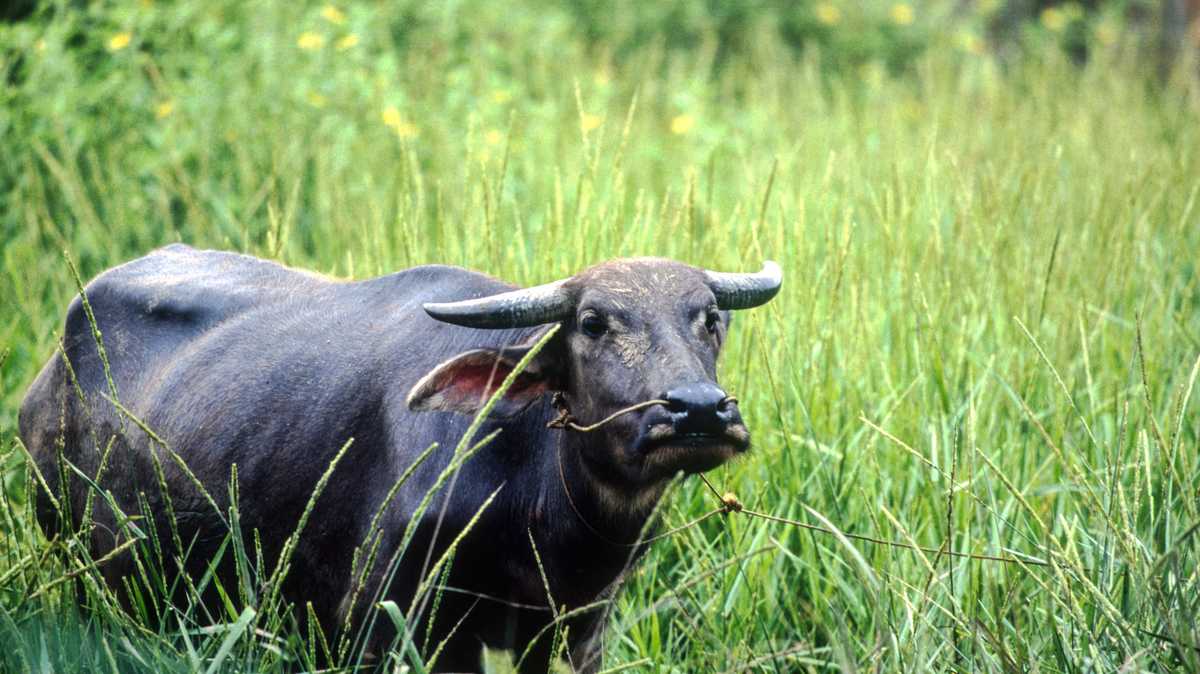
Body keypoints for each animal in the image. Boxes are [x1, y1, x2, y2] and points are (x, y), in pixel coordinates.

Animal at [18, 244, 782, 672]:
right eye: (592, 323)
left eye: (710, 318)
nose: (699, 410)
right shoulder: (387, 621)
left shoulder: (574, 629)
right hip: (84, 569)